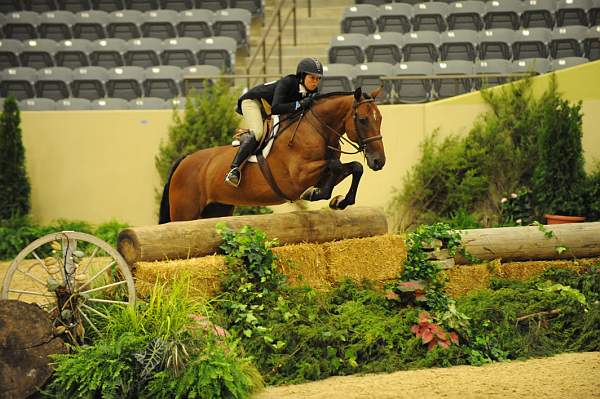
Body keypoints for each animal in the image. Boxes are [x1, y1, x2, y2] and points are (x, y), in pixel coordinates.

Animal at [157, 86, 386, 223]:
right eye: (363, 120)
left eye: (380, 119)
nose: (379, 161)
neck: (318, 129)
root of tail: (184, 160)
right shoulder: (297, 177)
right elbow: (335, 165)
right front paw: (316, 194)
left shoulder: (323, 173)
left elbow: (354, 167)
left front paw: (338, 201)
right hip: (185, 212)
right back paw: (233, 174)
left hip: (217, 209)